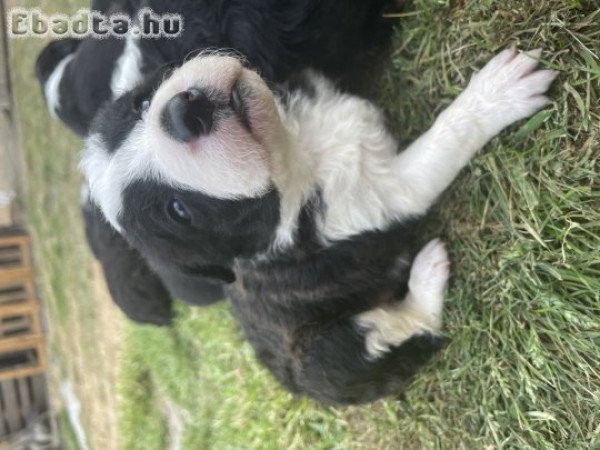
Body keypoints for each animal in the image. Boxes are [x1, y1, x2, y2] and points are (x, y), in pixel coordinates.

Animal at [81, 49, 556, 404]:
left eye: (141, 104)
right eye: (178, 211)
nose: (183, 112)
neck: (294, 152)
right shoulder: (389, 191)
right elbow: (446, 137)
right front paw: (498, 93)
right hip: (329, 356)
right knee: (410, 330)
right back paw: (427, 275)